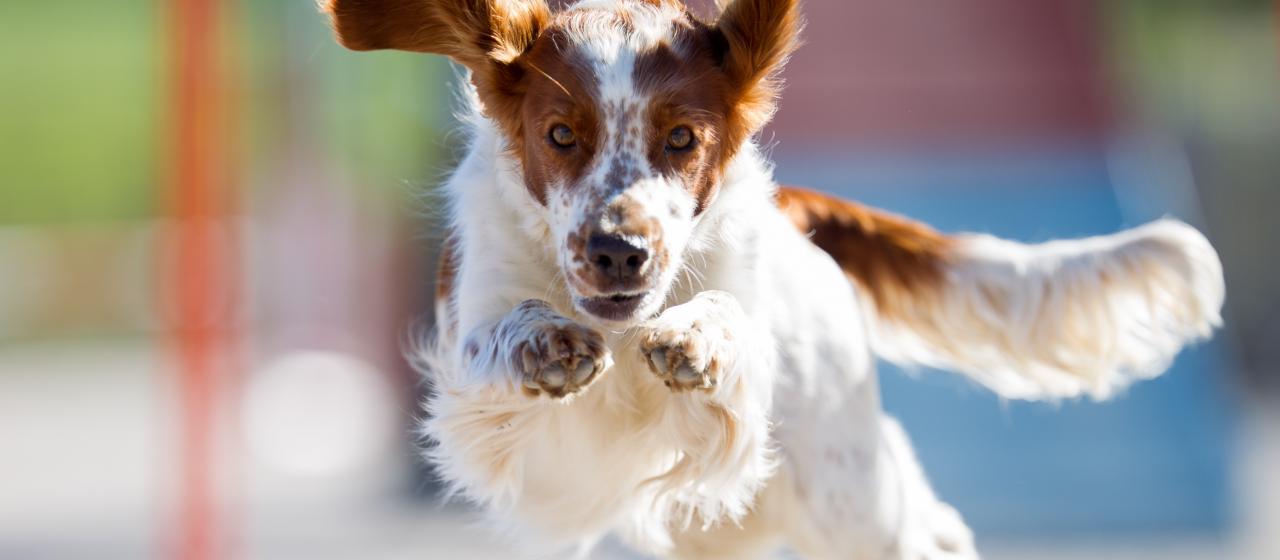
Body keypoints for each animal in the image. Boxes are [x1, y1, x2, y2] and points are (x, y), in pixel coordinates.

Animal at [325, 2, 1223, 557]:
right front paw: (545, 341)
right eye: (559, 134)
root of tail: (799, 212)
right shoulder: (473, 366)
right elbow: (499, 335)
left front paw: (695, 335)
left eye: (683, 138)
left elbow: (729, 319)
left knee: (924, 527)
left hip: (844, 484)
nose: (620, 250)